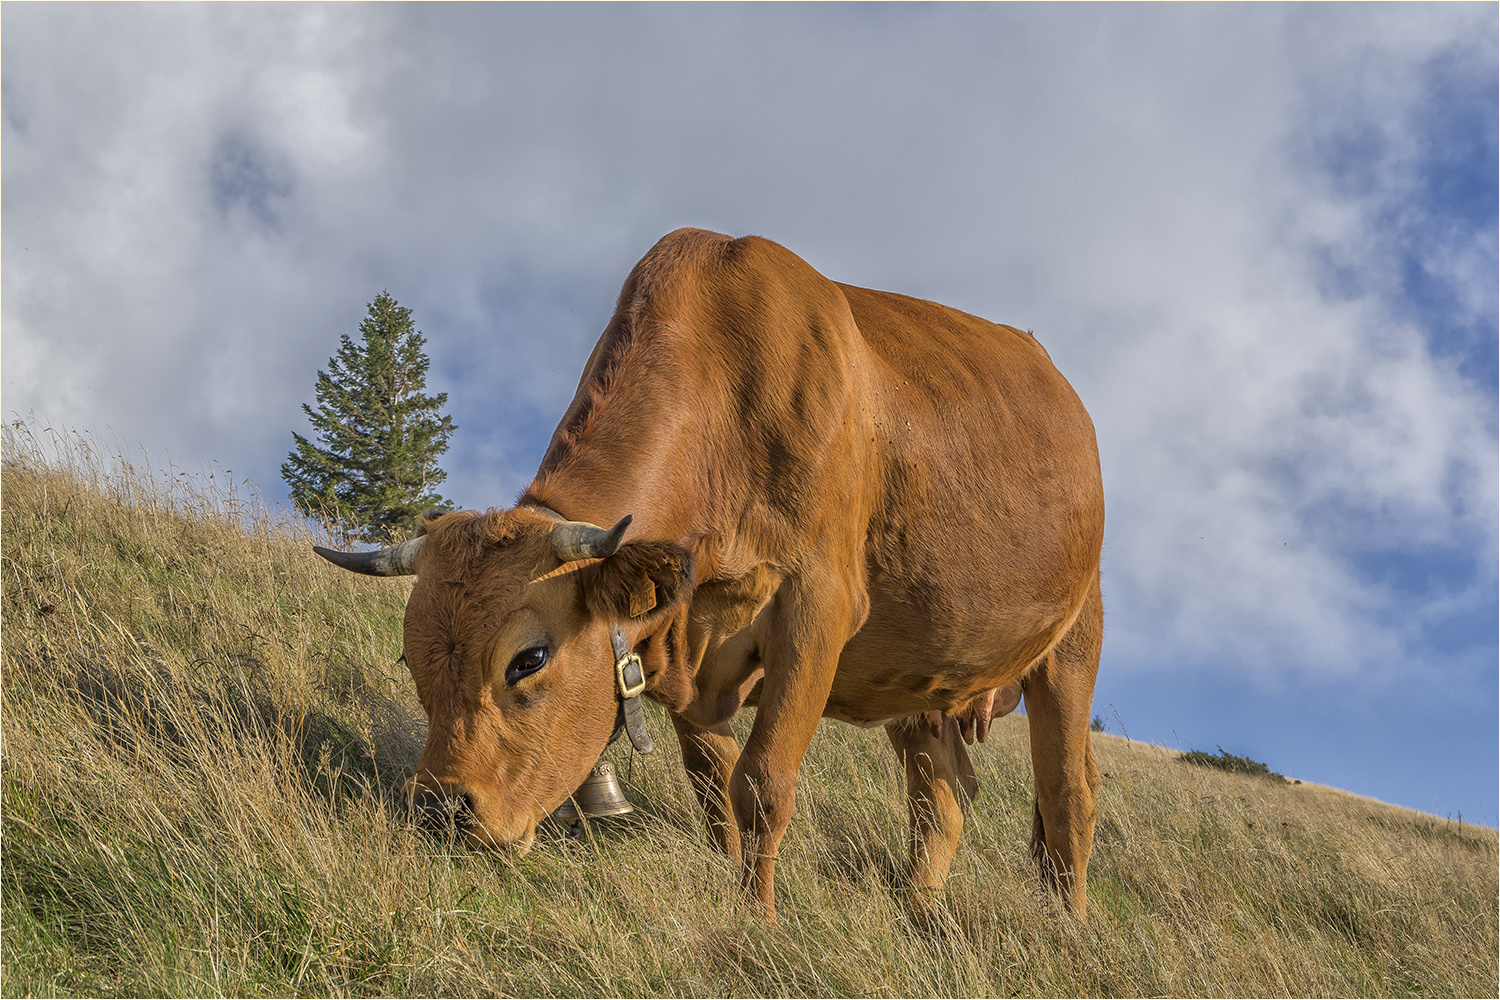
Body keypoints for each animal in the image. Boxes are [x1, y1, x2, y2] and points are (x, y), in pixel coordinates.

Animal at [316, 229, 1110, 923]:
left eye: (529, 658)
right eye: (410, 657)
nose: (439, 810)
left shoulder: (818, 608)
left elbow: (762, 784)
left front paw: (759, 921)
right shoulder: (685, 648)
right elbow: (715, 793)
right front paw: (732, 899)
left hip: (1075, 637)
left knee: (1068, 793)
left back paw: (1067, 929)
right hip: (921, 677)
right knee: (942, 793)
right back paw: (917, 911)